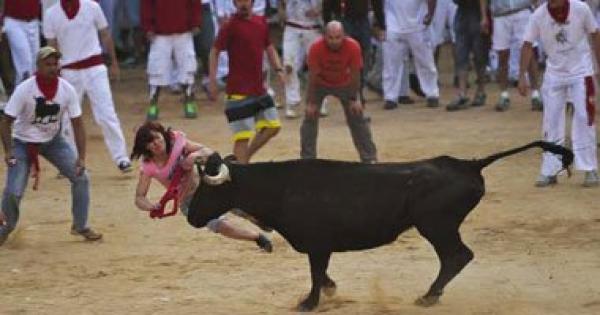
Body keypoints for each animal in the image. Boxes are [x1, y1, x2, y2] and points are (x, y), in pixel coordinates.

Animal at [188, 142, 572, 312]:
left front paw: (308, 303)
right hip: (438, 226)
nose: (191, 217)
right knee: (456, 257)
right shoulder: (319, 246)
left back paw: (428, 296)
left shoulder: (317, 243)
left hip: (436, 225)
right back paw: (432, 294)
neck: (281, 187)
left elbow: (315, 273)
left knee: (457, 256)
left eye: (207, 189)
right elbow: (321, 273)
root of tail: (469, 164)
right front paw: (328, 291)